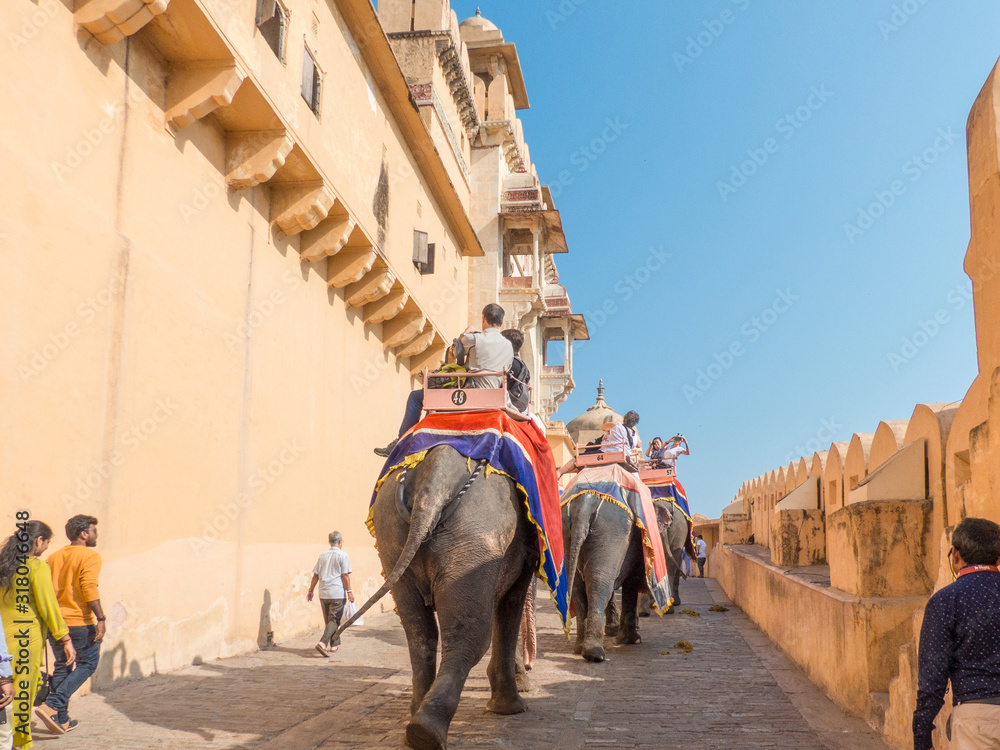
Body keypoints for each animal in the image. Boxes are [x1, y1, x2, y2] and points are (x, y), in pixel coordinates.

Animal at [340, 445, 540, 750]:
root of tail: (433, 482)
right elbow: (511, 601)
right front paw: (513, 707)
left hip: (393, 535)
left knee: (418, 630)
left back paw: (416, 722)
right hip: (474, 536)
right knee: (470, 632)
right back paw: (427, 730)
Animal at [562, 491, 647, 662]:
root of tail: (584, 506)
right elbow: (631, 583)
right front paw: (632, 640)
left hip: (568, 534)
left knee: (578, 588)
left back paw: (579, 649)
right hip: (609, 532)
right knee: (600, 586)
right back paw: (594, 654)